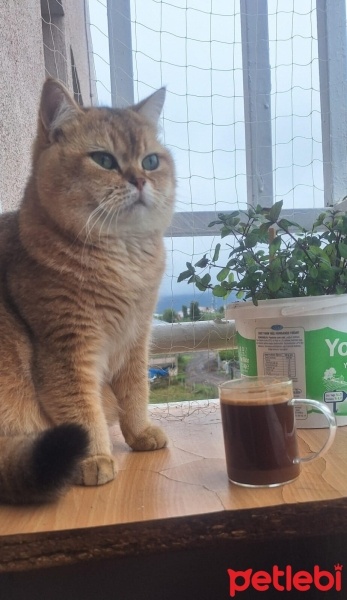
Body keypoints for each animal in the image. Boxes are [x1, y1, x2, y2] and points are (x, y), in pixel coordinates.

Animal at [0, 78, 175, 502]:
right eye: (104, 160)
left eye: (150, 161)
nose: (140, 180)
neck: (124, 259)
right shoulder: (67, 349)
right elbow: (82, 410)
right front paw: (94, 458)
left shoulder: (136, 339)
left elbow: (135, 393)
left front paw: (140, 434)